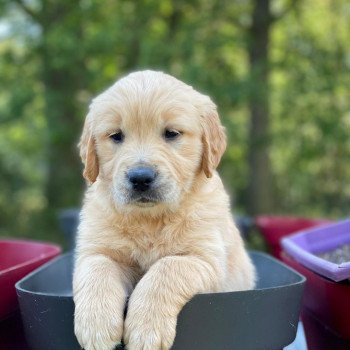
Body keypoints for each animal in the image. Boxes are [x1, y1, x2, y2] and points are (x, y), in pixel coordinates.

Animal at [72, 70, 256, 350]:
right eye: (116, 136)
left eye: (171, 133)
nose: (140, 178)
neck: (151, 219)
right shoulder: (95, 249)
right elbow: (97, 267)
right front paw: (96, 325)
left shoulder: (206, 260)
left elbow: (167, 267)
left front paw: (146, 329)